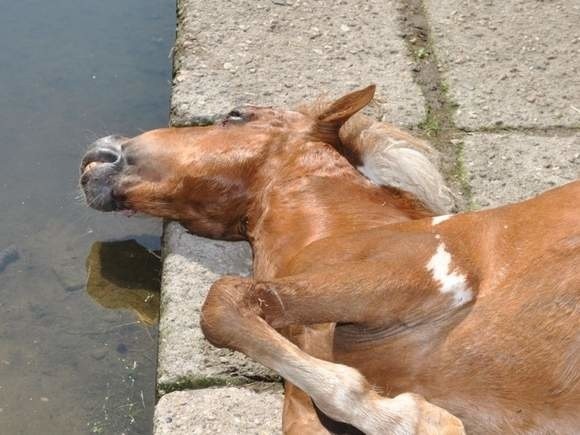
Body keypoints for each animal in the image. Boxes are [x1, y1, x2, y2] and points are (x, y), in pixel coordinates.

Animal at [79, 86, 576, 435]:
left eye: (236, 114)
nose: (99, 151)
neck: (356, 230)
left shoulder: (423, 275)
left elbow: (222, 304)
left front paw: (417, 420)